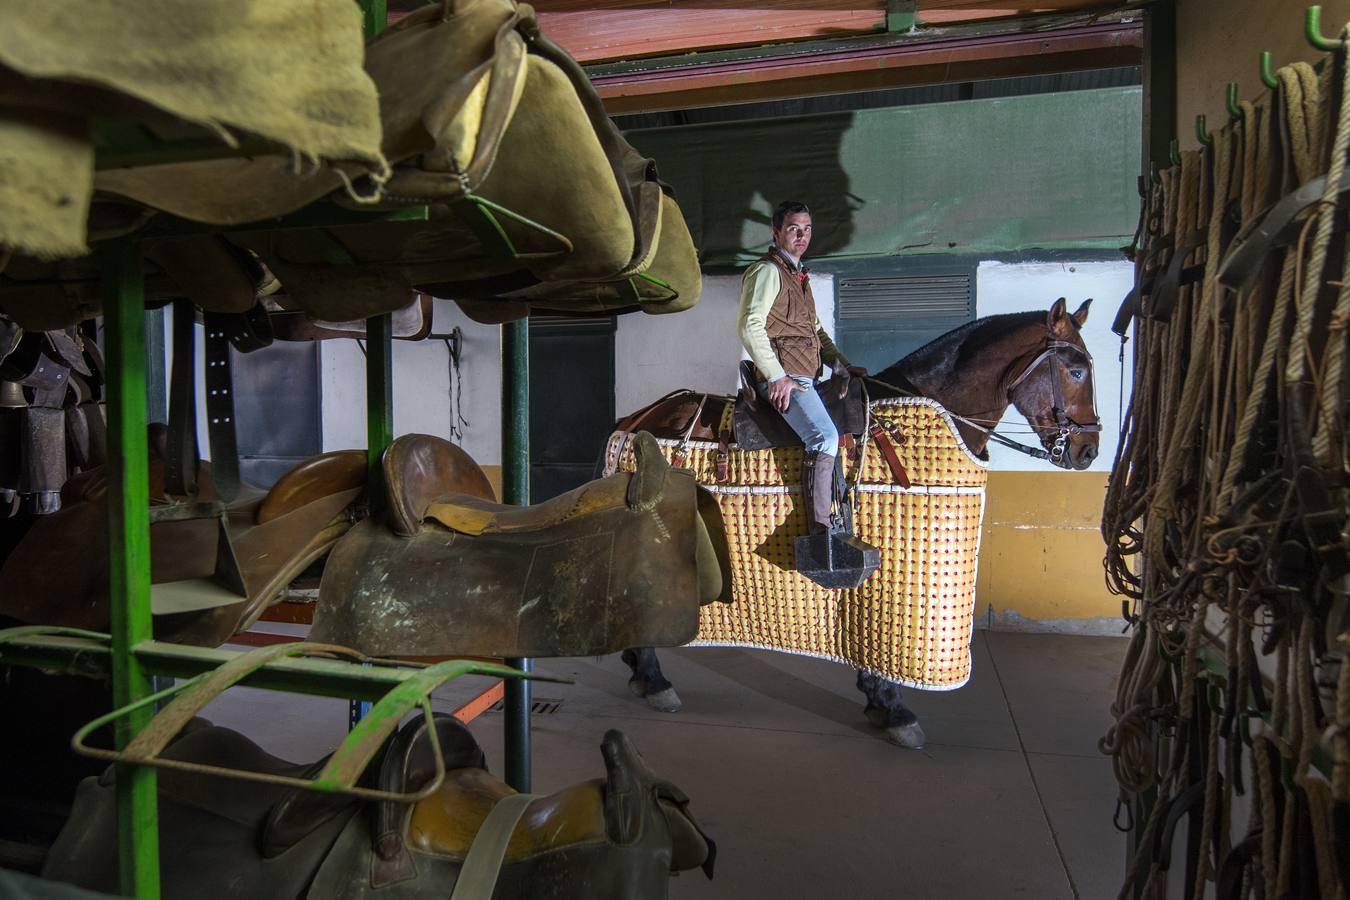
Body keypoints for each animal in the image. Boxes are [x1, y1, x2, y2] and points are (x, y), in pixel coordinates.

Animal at [612, 299, 1096, 750]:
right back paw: (654, 680)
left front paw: (879, 701)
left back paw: (640, 669)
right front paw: (895, 709)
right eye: (1075, 369)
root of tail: (635, 420)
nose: (1087, 450)